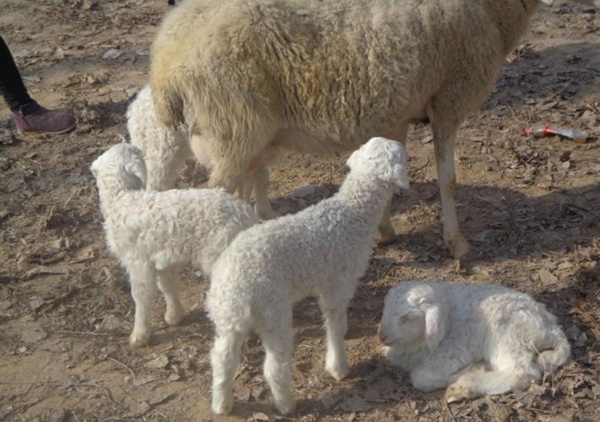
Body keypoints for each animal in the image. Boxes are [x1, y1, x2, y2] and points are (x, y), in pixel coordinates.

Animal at [91, 143, 258, 348]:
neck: (122, 199)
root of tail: (246, 216)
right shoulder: (162, 258)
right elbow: (168, 285)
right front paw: (174, 315)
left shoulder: (138, 260)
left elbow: (141, 295)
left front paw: (139, 335)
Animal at [150, 0, 600, 260]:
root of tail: (165, 59)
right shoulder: (448, 98)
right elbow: (449, 181)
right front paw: (457, 243)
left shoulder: (396, 114)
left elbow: (391, 177)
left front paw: (384, 231)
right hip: (234, 126)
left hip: (232, 134)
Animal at [207, 137, 412, 414]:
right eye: (401, 154)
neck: (352, 211)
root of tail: (235, 285)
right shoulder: (339, 282)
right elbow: (333, 322)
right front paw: (338, 366)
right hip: (272, 311)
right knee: (274, 366)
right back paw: (286, 404)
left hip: (226, 316)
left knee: (222, 360)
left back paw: (222, 404)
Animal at [380, 280, 572, 402]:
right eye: (385, 308)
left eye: (407, 318)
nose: (382, 335)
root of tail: (551, 328)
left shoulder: (451, 352)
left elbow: (420, 377)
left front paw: (475, 369)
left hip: (507, 336)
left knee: (523, 373)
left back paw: (464, 386)